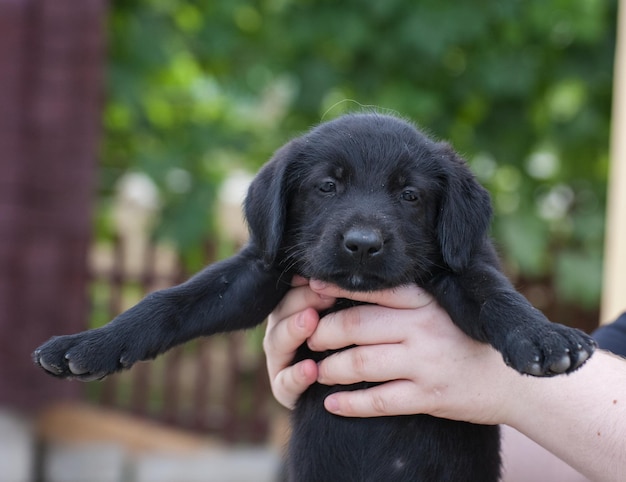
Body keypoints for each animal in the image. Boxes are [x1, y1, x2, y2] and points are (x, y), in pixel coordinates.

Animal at [34, 114, 596, 482]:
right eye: (327, 186)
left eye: (409, 195)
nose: (363, 244)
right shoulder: (259, 271)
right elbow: (172, 301)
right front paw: (90, 344)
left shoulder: (463, 267)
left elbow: (497, 297)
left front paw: (545, 337)